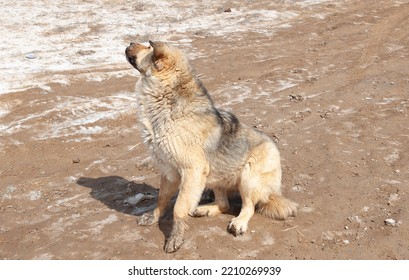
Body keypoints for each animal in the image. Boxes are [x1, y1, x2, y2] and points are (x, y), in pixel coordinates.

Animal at [124, 40, 296, 253]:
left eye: (148, 46)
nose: (130, 42)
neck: (164, 98)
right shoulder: (169, 170)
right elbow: (162, 198)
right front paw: (153, 217)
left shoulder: (192, 170)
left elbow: (179, 207)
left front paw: (176, 237)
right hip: (215, 177)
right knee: (224, 204)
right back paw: (205, 209)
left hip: (248, 176)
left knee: (248, 207)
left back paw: (239, 223)